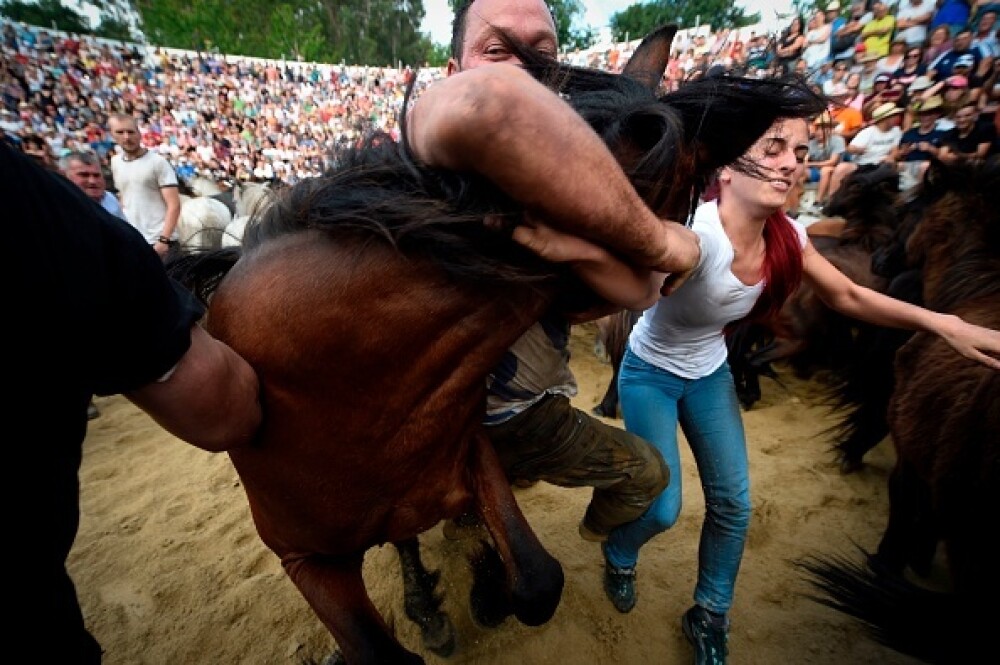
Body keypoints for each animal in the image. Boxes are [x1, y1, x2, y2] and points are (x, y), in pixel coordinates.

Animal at [168, 29, 824, 664]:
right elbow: (379, 648)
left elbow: (537, 581)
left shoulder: (473, 457)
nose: (683, 275)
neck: (347, 388)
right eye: (689, 199)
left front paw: (487, 589)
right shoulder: (305, 559)